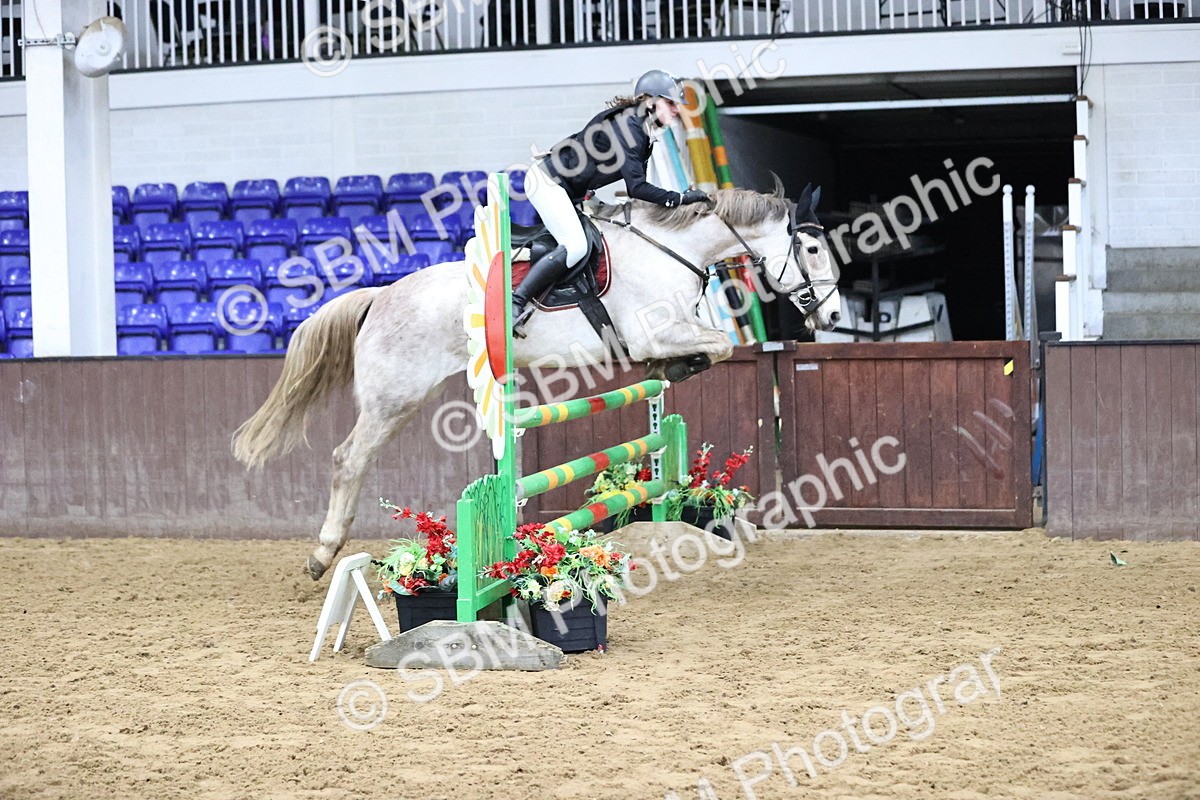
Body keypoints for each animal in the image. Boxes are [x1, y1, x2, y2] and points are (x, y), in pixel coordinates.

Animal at [232, 184, 842, 579]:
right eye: (811, 248)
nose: (833, 316)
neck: (674, 249)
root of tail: (380, 296)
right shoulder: (655, 334)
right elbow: (721, 346)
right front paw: (674, 368)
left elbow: (709, 353)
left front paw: (667, 375)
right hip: (394, 399)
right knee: (348, 460)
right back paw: (323, 554)